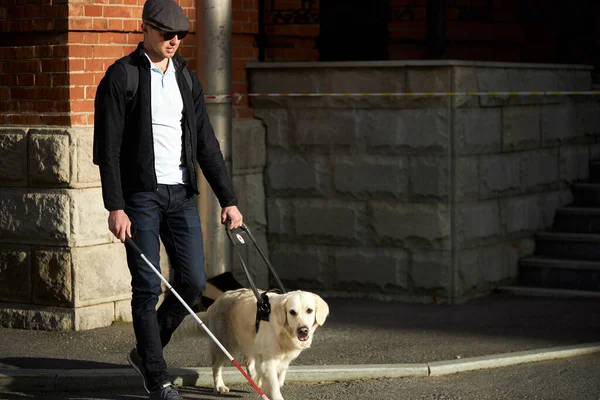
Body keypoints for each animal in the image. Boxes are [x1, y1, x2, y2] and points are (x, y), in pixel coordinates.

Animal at [176, 290, 330, 398]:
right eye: (292, 312)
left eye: (309, 310)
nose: (303, 330)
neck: (285, 331)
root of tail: (215, 303)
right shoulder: (268, 359)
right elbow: (274, 384)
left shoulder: (282, 357)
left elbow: (280, 376)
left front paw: (267, 384)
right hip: (225, 344)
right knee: (216, 366)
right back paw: (219, 386)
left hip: (250, 343)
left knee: (248, 364)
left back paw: (256, 380)